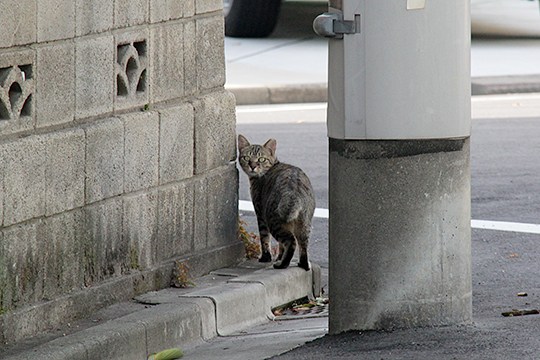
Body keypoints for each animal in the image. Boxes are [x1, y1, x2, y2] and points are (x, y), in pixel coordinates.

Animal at [237, 135, 316, 270]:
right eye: (246, 157)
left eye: (261, 159)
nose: (252, 166)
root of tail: (294, 192)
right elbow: (280, 245)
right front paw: (279, 256)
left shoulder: (260, 214)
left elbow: (264, 238)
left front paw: (266, 257)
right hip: (304, 224)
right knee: (303, 246)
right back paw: (302, 264)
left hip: (273, 220)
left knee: (291, 242)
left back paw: (282, 264)